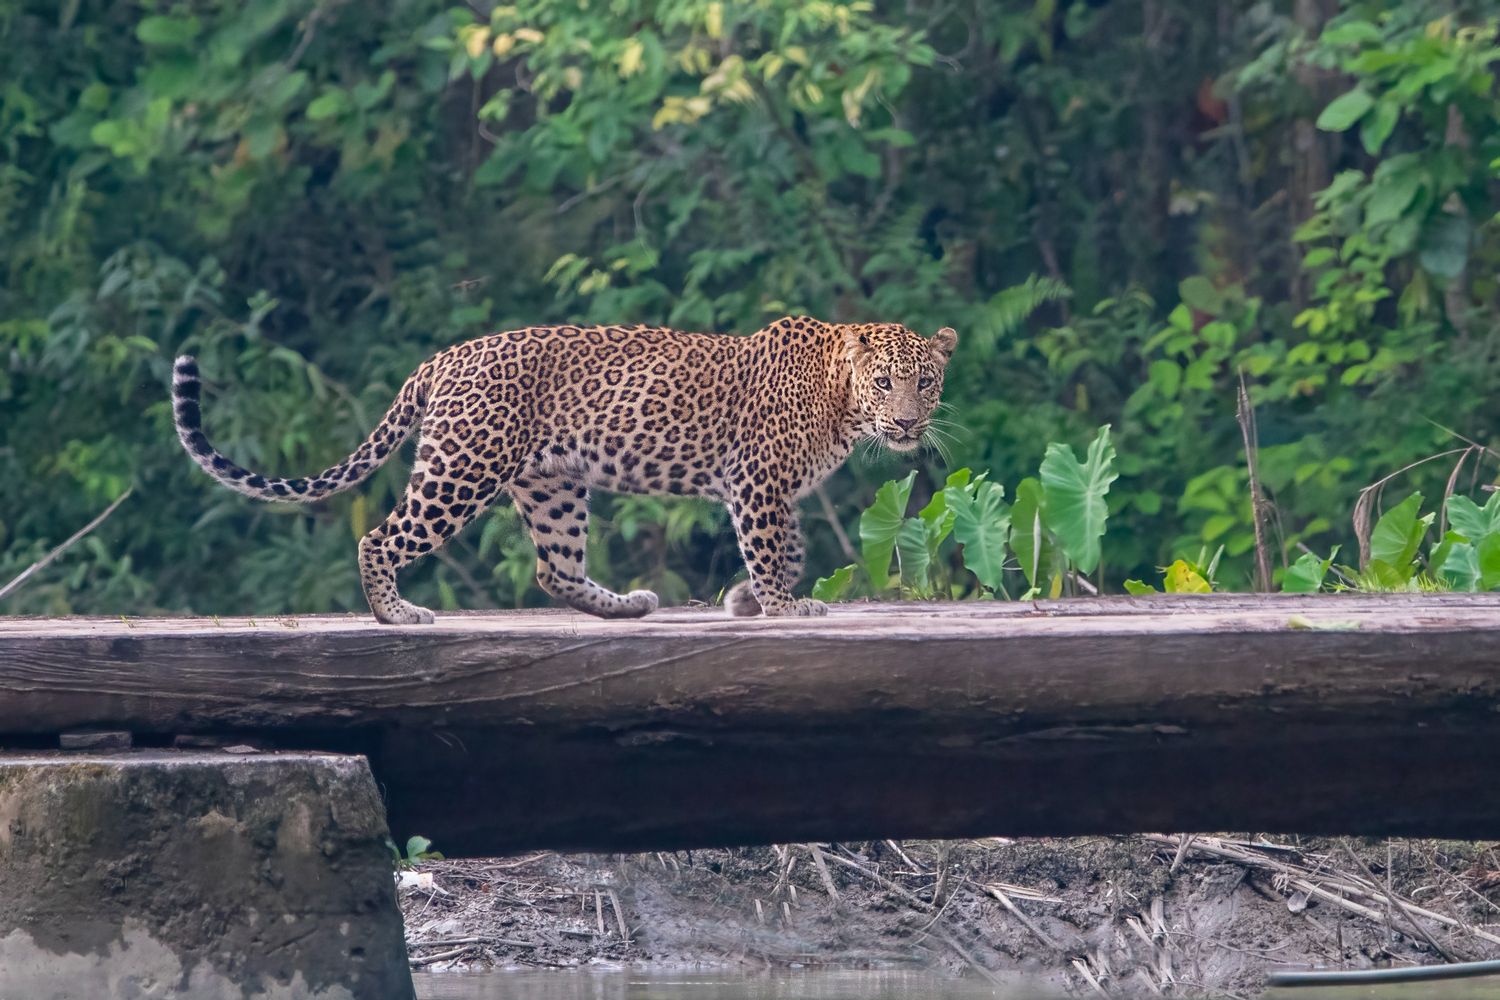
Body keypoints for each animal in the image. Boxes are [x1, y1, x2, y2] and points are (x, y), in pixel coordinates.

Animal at [172, 316, 957, 624]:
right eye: (885, 382)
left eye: (925, 383)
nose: (908, 424)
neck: (838, 401)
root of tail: (446, 356)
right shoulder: (758, 483)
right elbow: (771, 549)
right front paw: (781, 605)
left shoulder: (771, 491)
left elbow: (787, 548)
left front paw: (748, 600)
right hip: (464, 466)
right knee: (381, 537)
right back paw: (396, 613)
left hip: (551, 485)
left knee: (555, 569)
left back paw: (626, 604)